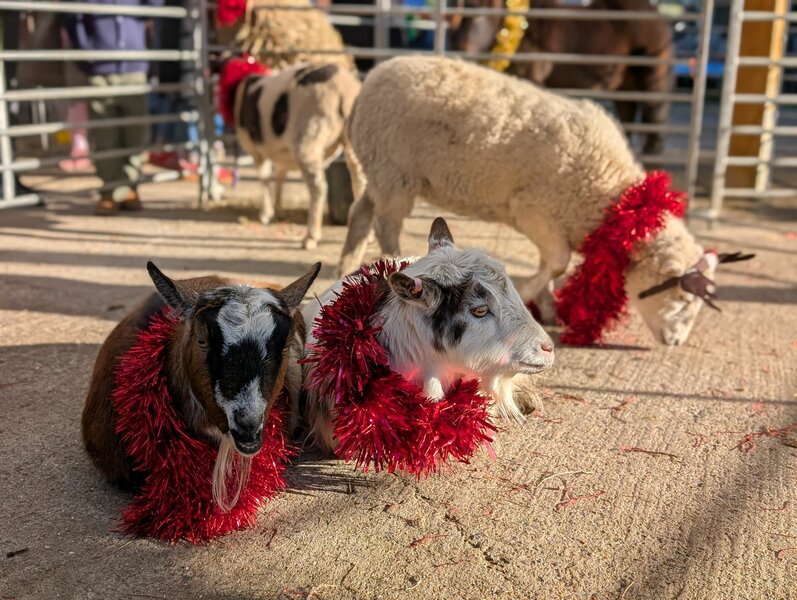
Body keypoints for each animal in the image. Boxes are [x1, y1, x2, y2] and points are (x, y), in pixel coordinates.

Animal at [225, 59, 362, 249]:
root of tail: (343, 89)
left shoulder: (257, 151)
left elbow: (264, 179)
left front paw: (266, 214)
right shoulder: (281, 155)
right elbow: (280, 177)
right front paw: (279, 210)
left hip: (308, 139)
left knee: (318, 188)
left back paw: (310, 237)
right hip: (354, 142)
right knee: (361, 183)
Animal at [338, 56, 712, 346]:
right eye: (681, 297)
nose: (676, 342)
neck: (613, 200)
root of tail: (369, 81)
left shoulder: (553, 219)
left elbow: (551, 263)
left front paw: (548, 306)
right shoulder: (535, 210)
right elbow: (558, 262)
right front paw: (527, 290)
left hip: (381, 170)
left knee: (360, 212)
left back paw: (347, 265)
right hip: (393, 170)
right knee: (386, 223)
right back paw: (396, 260)